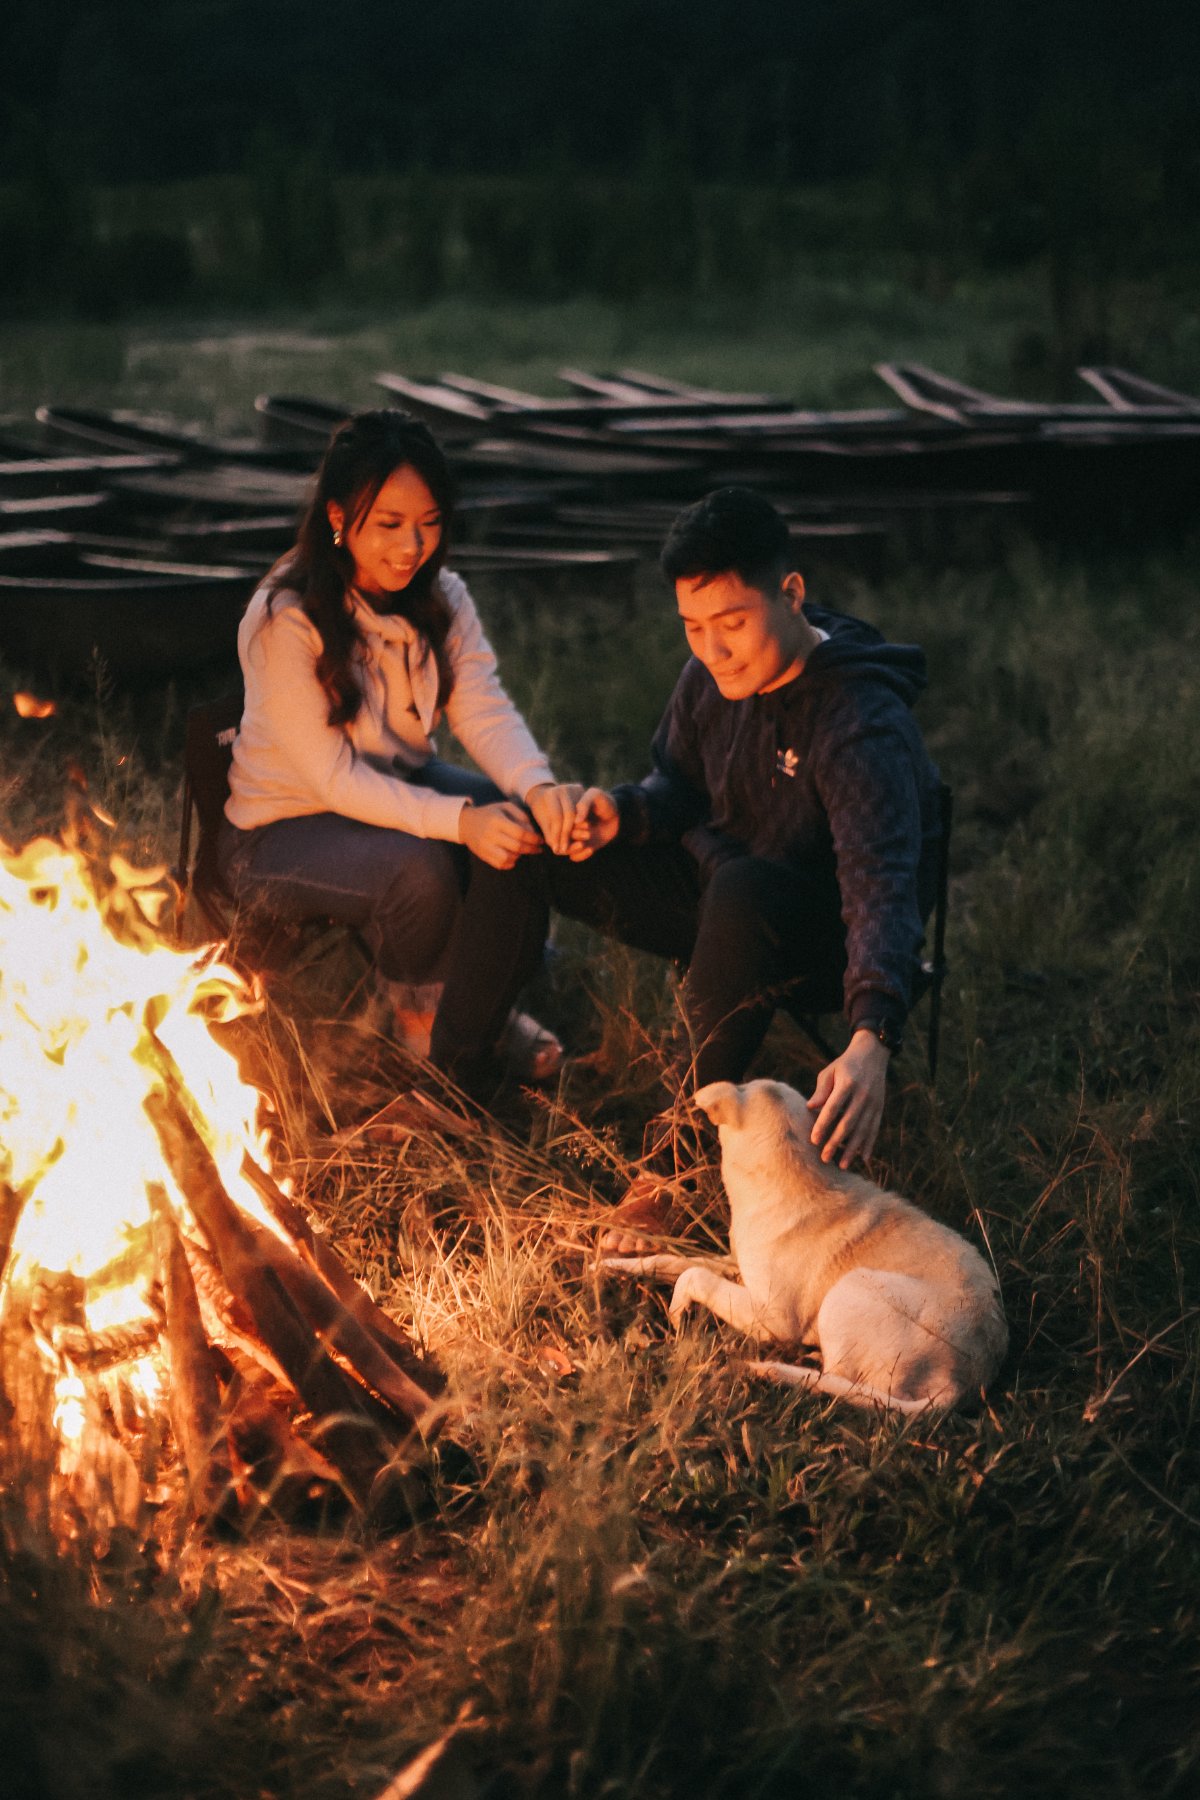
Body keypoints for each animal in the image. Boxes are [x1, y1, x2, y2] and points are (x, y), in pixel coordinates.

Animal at [604, 1078, 1007, 1415]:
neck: (794, 1173)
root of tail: (963, 1381)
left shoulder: (771, 1318)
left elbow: (693, 1274)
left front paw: (676, 1312)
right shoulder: (739, 1267)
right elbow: (673, 1260)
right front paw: (613, 1267)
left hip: (850, 1290)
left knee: (839, 1377)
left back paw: (785, 1365)